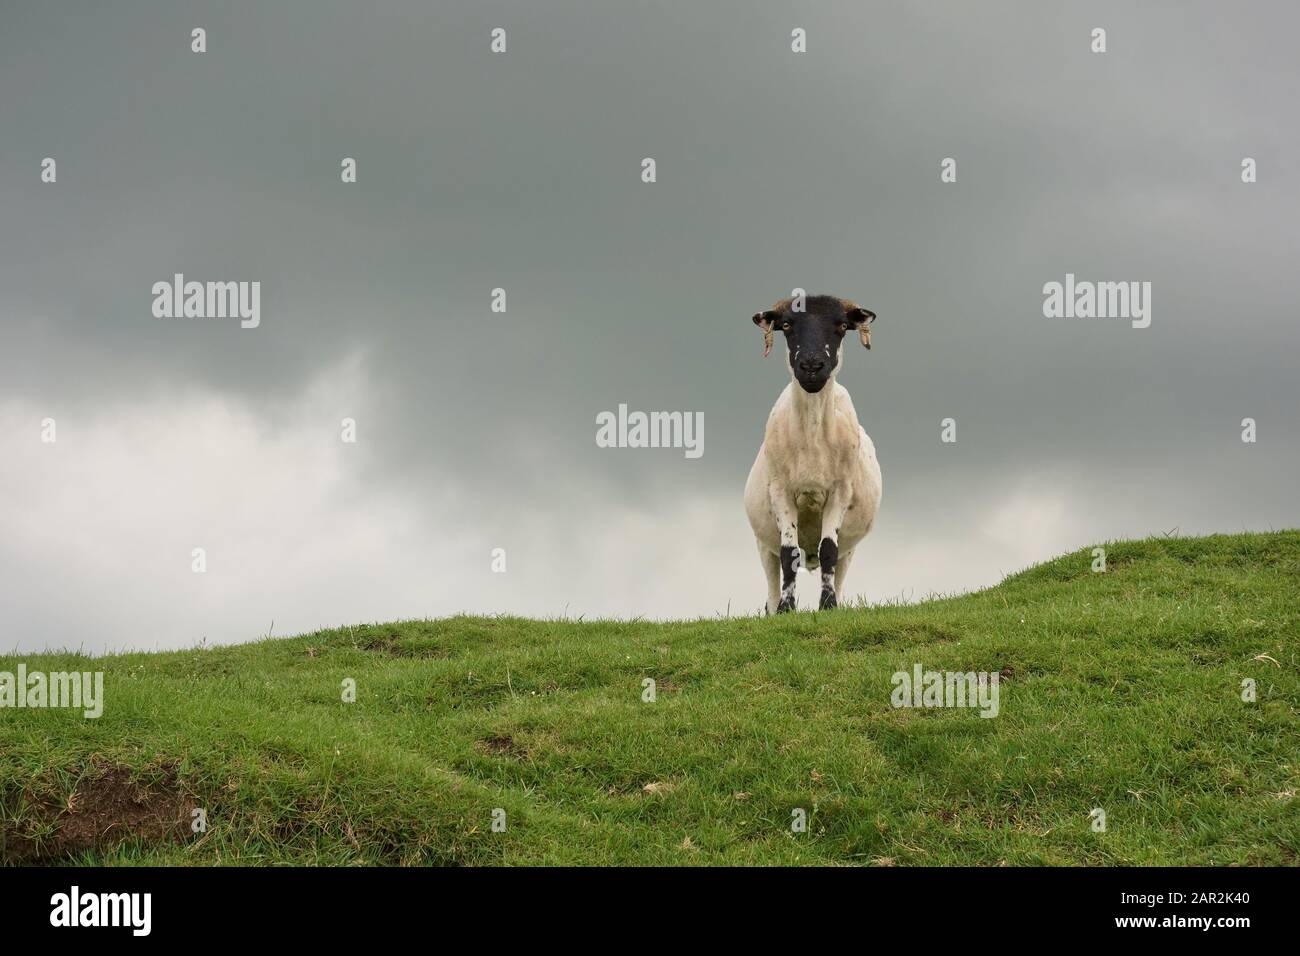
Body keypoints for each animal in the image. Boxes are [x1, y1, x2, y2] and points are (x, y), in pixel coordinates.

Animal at [743, 294, 883, 613]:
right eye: (785, 325)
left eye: (842, 325)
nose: (810, 366)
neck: (812, 438)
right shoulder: (780, 491)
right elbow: (788, 554)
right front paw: (786, 609)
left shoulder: (841, 492)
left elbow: (828, 550)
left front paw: (827, 605)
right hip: (762, 543)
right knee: (772, 578)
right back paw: (774, 608)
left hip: (850, 549)